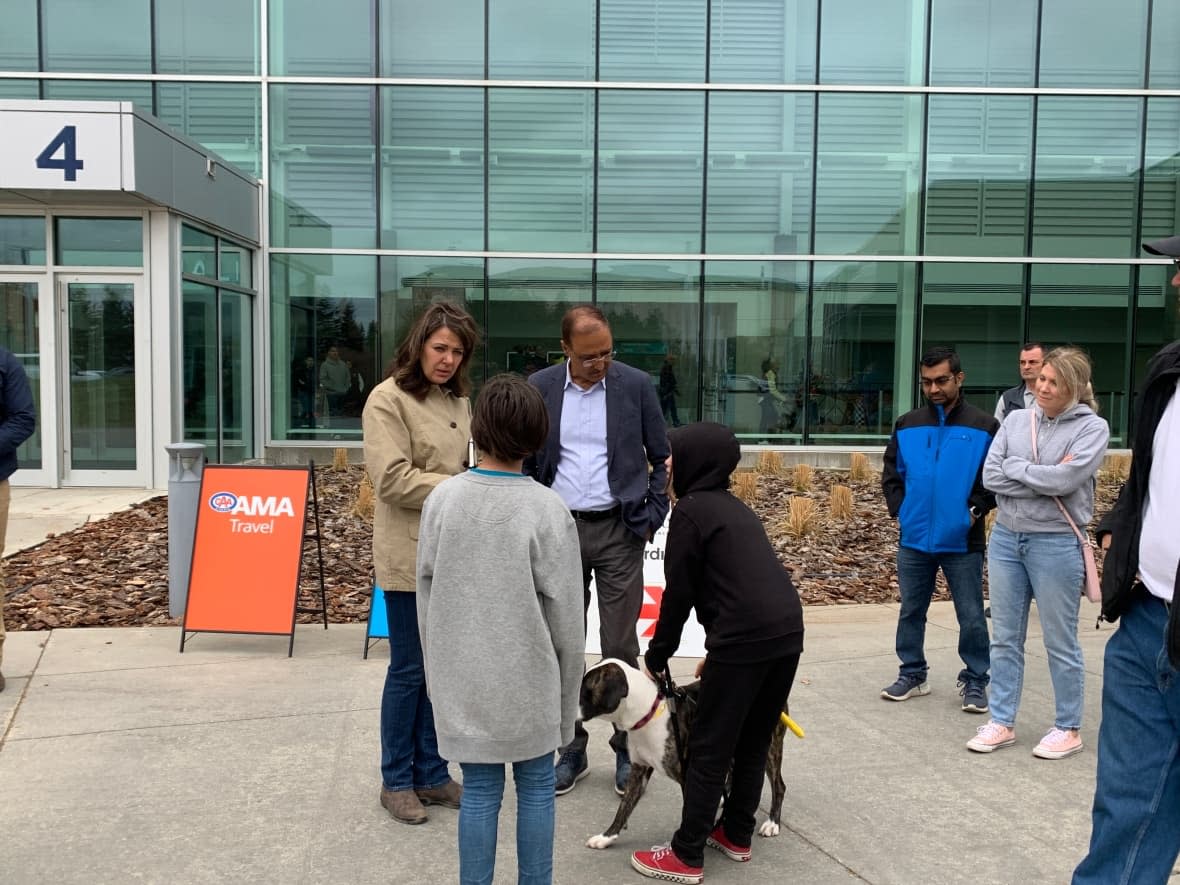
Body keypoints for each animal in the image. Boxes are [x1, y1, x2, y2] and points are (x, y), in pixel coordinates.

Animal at [575, 660, 788, 854]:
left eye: (586, 690)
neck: (648, 712)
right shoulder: (638, 771)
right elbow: (623, 809)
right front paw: (606, 837)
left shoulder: (687, 777)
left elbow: (689, 813)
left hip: (769, 749)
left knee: (779, 786)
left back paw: (772, 822)